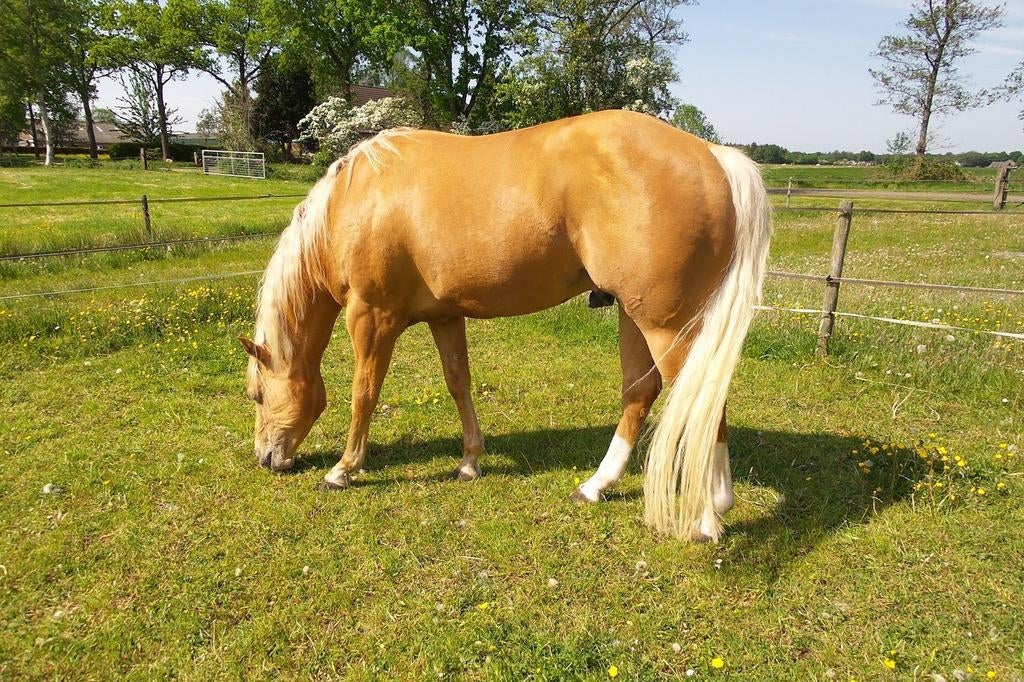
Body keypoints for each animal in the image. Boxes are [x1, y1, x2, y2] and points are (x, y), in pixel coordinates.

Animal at [239, 109, 772, 541]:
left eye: (257, 394)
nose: (266, 459)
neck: (354, 202)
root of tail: (713, 156)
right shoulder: (445, 316)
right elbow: (459, 383)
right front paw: (470, 461)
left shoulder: (372, 318)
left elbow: (364, 393)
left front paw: (343, 470)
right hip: (634, 315)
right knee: (646, 394)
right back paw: (602, 487)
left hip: (664, 324)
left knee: (697, 400)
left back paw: (707, 519)